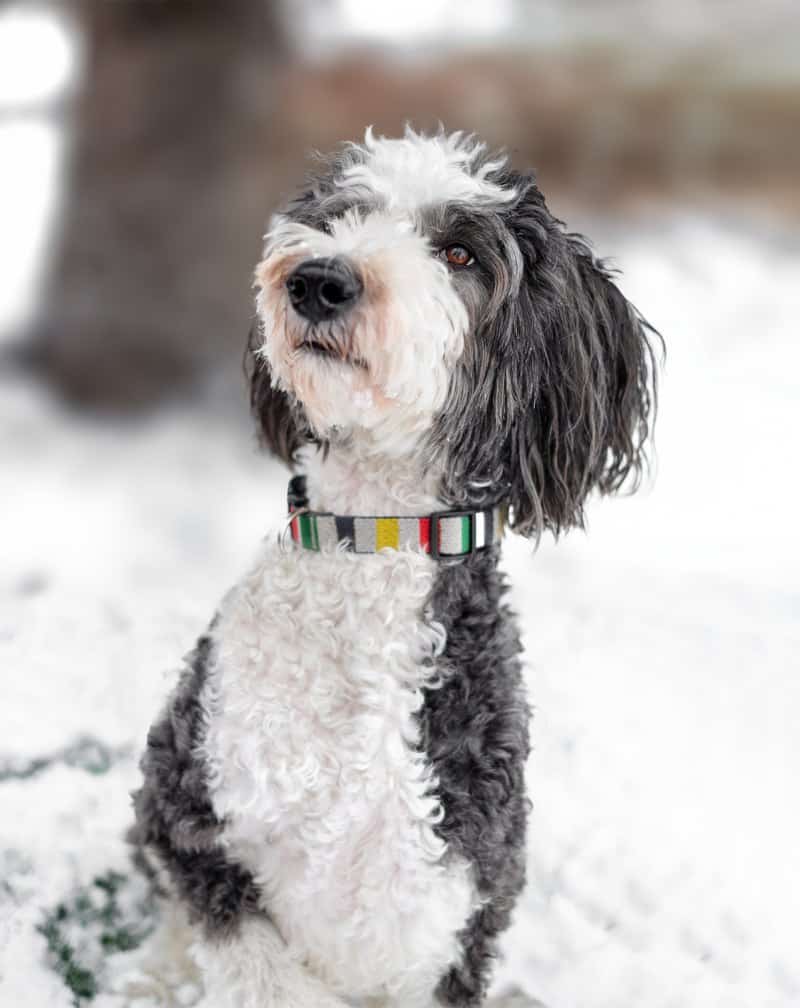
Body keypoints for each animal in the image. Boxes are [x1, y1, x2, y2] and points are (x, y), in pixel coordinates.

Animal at [128, 128, 652, 1008]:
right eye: (341, 216)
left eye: (459, 253)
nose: (318, 279)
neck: (370, 534)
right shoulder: (188, 809)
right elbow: (253, 961)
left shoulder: (453, 909)